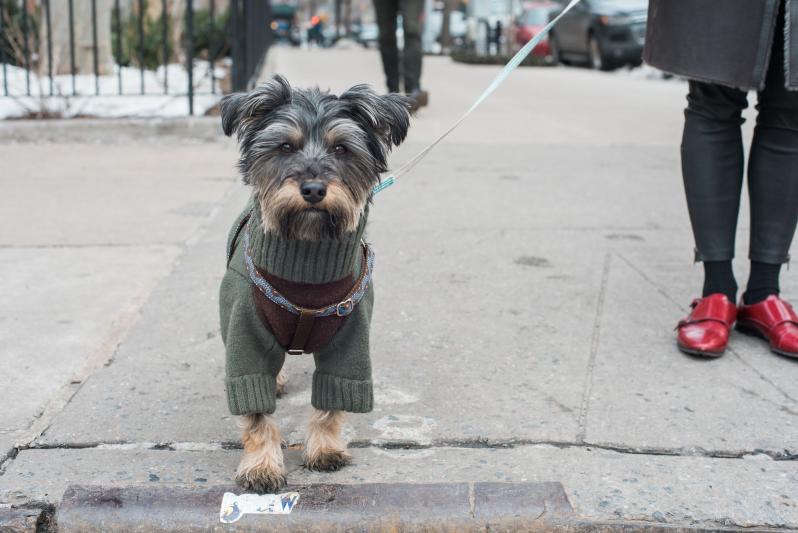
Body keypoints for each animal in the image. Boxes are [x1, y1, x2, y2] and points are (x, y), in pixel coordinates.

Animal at [219, 75, 412, 490]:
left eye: (341, 148)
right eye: (285, 147)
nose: (312, 189)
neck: (307, 256)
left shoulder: (350, 343)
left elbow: (332, 398)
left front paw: (325, 448)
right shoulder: (245, 337)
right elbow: (256, 411)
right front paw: (261, 465)